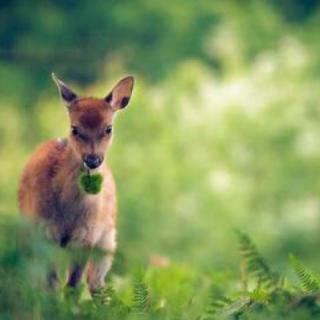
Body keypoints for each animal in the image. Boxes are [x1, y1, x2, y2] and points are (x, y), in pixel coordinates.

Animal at [17, 74, 135, 294]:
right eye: (74, 128)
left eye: (108, 128)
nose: (93, 160)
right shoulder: (44, 231)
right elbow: (52, 283)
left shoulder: (88, 235)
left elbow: (72, 284)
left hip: (107, 240)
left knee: (95, 283)